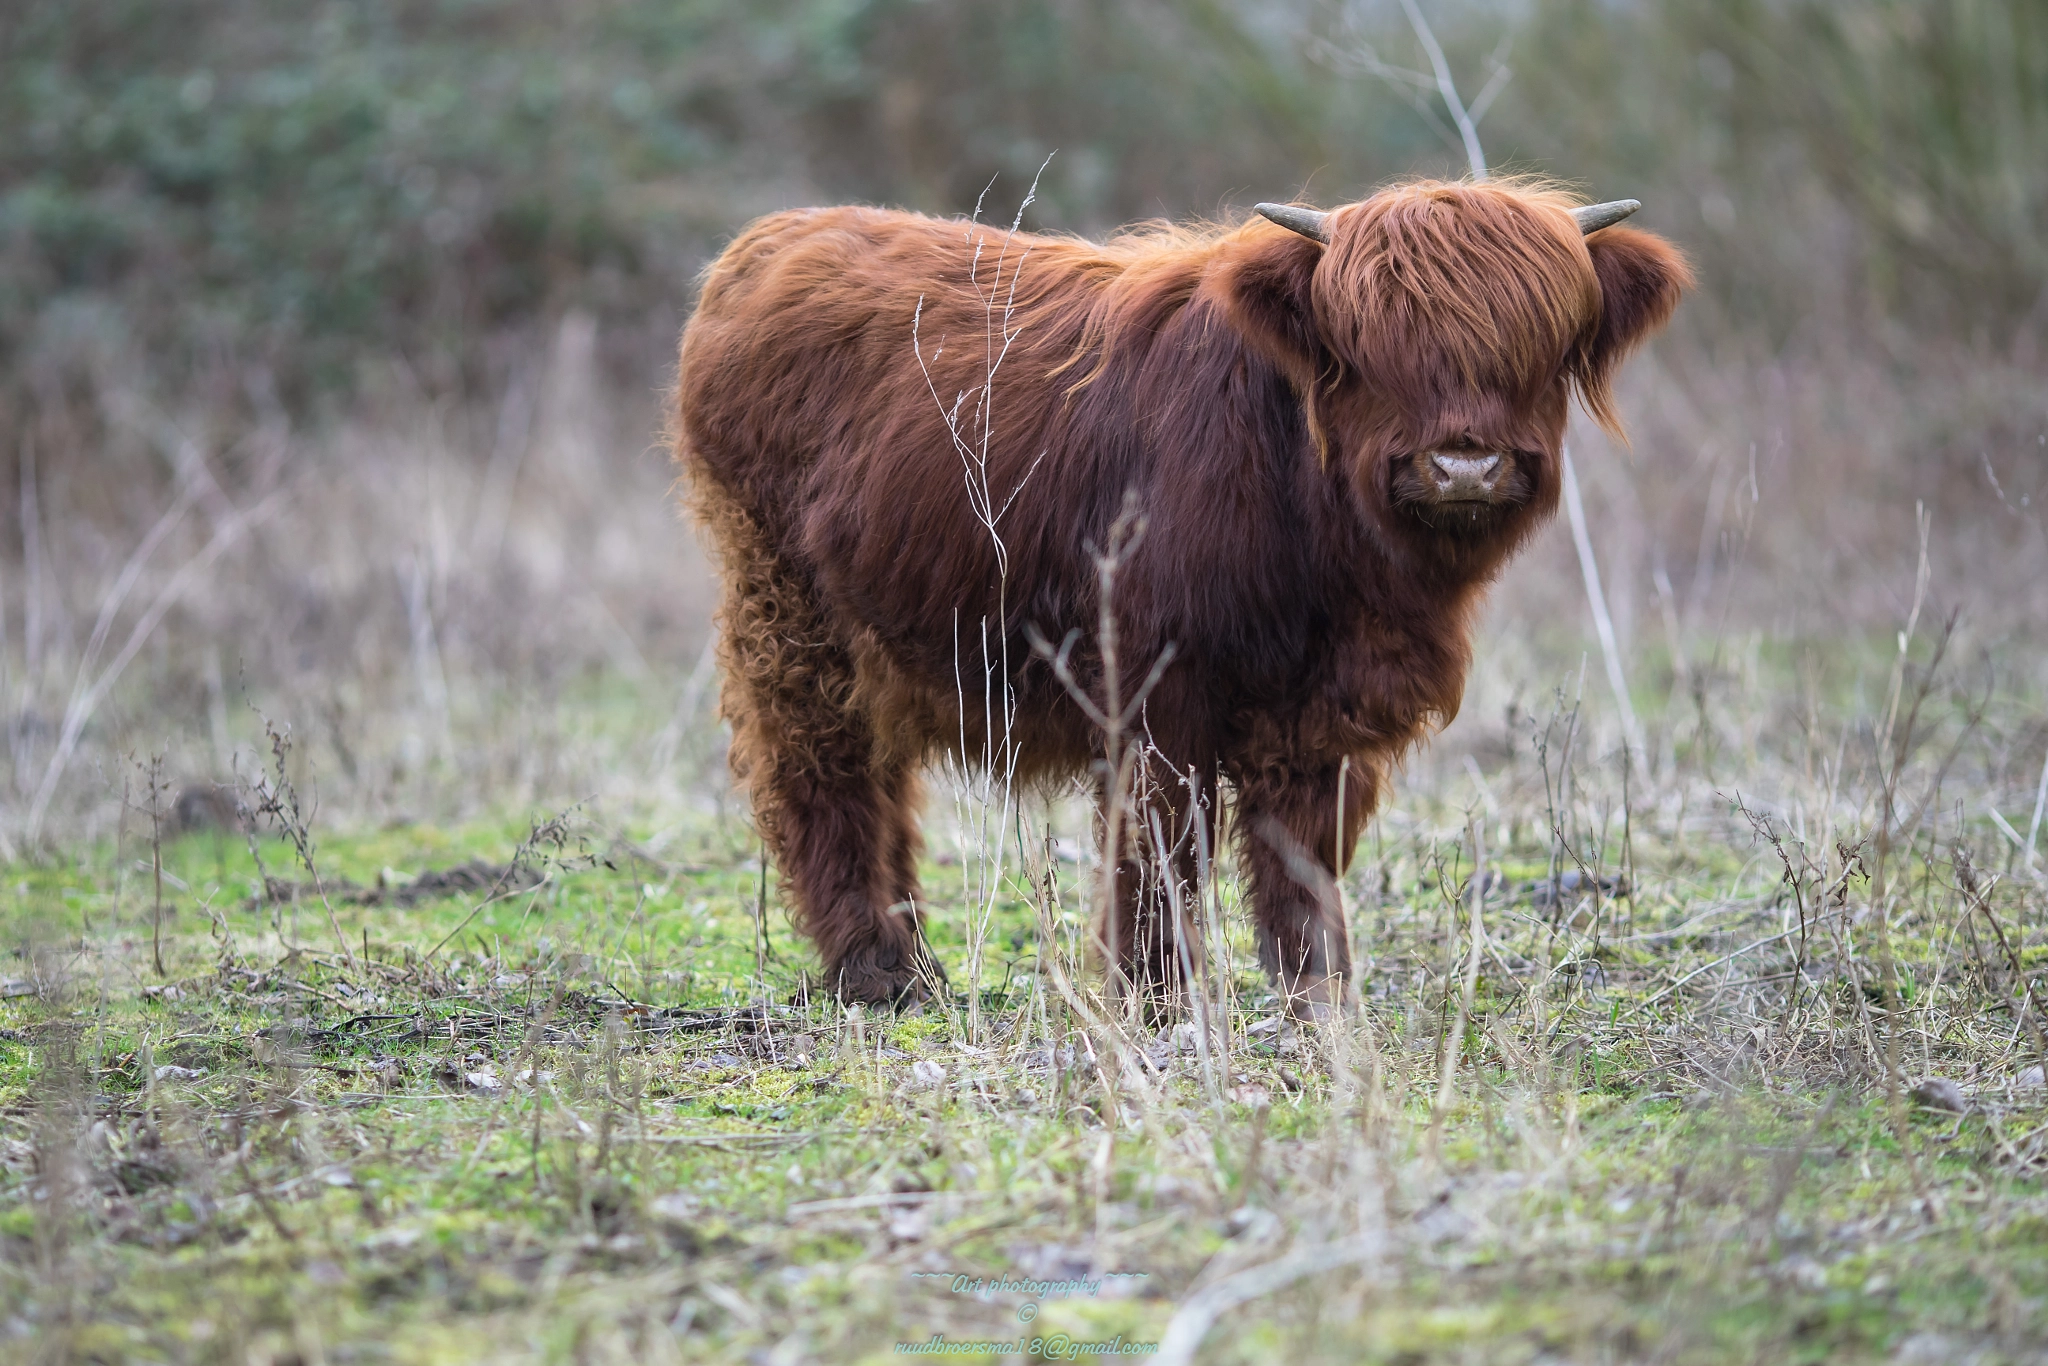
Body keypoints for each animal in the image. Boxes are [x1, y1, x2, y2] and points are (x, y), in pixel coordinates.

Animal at [679, 179, 1687, 1015]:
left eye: (1534, 346)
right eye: (1370, 348)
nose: (1464, 464)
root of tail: (770, 240)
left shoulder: (1326, 704)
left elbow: (1302, 854)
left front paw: (1320, 994)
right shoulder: (1157, 681)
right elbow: (1159, 839)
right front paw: (1154, 993)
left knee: (883, 778)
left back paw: (908, 964)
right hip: (789, 610)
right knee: (820, 769)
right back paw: (879, 972)